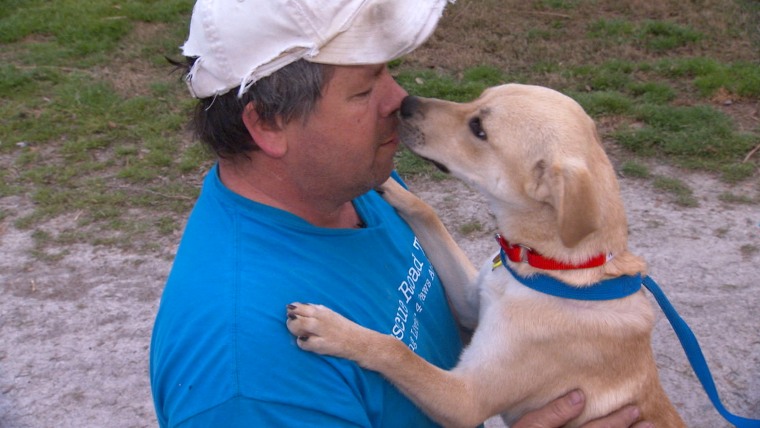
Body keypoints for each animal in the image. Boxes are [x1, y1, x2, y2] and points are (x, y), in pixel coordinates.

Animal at [288, 84, 684, 428]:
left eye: (479, 129)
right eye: (479, 97)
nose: (405, 102)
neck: (545, 269)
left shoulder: (466, 398)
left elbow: (395, 351)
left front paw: (330, 328)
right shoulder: (469, 304)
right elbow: (428, 212)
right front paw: (389, 186)